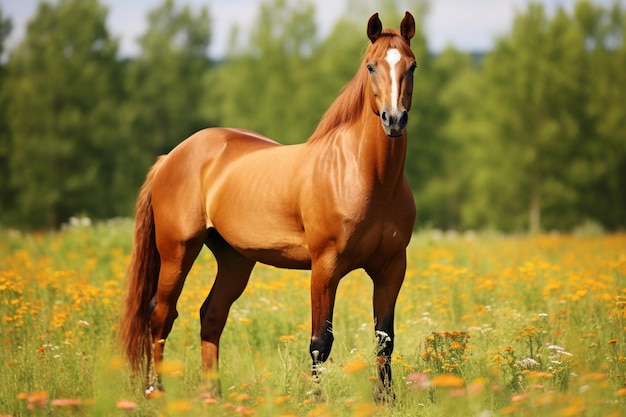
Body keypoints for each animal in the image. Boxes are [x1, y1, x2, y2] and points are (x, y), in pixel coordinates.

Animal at [120, 11, 416, 400]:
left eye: (412, 65)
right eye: (371, 66)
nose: (393, 120)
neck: (369, 179)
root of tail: (171, 157)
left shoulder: (391, 268)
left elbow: (385, 339)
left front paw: (386, 400)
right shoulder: (325, 267)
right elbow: (320, 341)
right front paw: (316, 400)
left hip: (235, 259)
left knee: (211, 315)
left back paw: (212, 394)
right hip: (177, 251)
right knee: (161, 314)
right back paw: (156, 390)